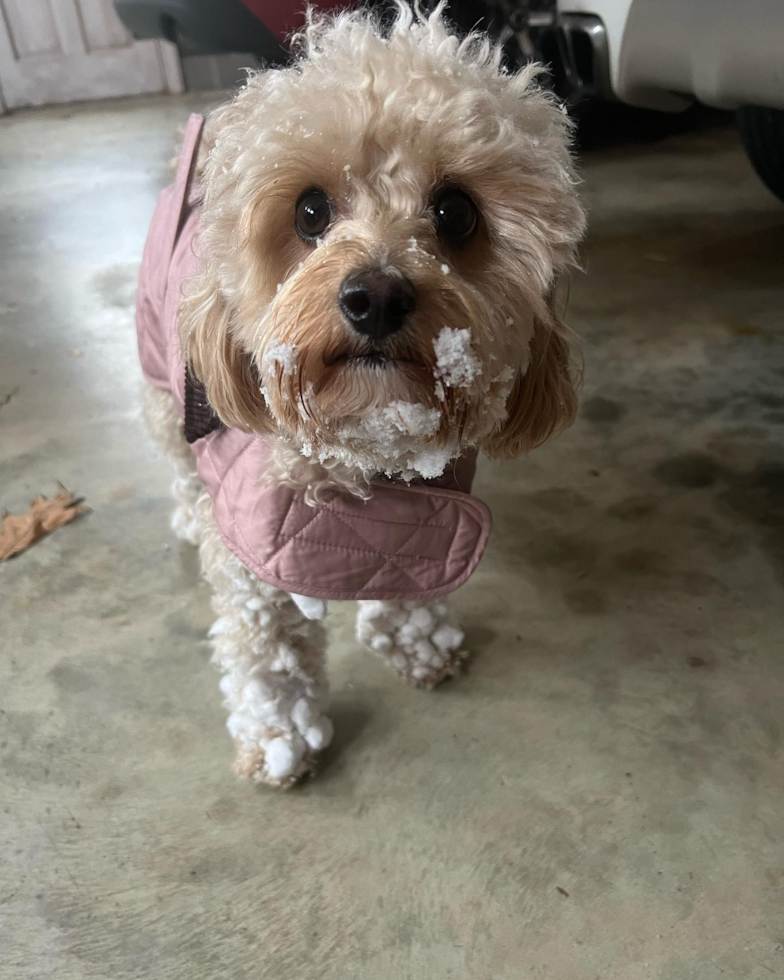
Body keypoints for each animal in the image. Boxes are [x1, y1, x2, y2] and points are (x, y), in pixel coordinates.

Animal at [138, 3, 584, 788]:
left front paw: (415, 642)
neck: (366, 450)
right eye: (310, 212)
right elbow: (267, 648)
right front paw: (279, 734)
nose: (375, 296)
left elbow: (404, 577)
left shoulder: (424, 524)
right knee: (179, 460)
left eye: (457, 213)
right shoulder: (258, 551)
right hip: (166, 386)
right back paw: (191, 515)